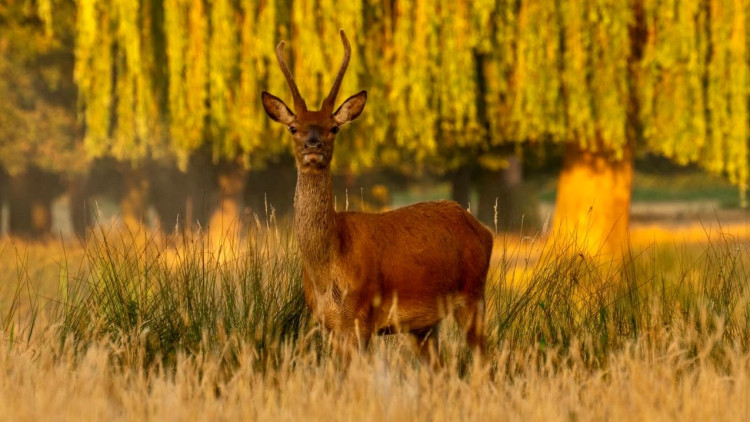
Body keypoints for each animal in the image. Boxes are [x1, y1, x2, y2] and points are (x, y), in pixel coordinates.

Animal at [261, 29, 494, 361]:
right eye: (293, 127)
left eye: (334, 128)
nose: (313, 145)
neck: (329, 267)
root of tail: (483, 229)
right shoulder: (328, 324)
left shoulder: (363, 316)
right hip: (425, 325)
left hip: (474, 294)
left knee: (483, 359)